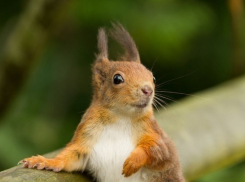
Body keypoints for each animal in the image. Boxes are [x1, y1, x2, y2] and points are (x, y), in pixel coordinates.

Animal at [19, 23, 186, 182]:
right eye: (117, 79)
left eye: (153, 78)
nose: (148, 90)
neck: (121, 118)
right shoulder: (86, 135)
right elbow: (70, 157)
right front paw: (45, 161)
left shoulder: (156, 136)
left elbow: (157, 150)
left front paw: (133, 161)